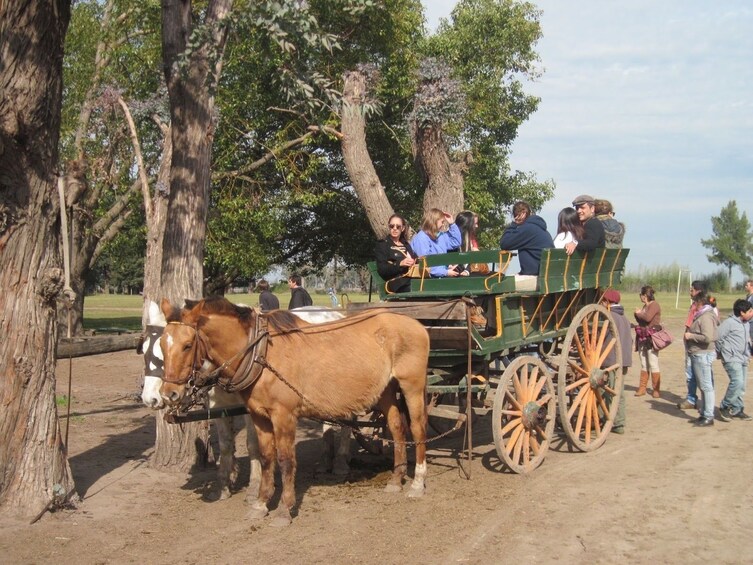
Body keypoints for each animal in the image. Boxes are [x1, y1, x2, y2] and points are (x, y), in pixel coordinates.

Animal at [159, 296, 428, 524]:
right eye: (161, 343)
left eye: (187, 345)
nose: (168, 393)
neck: (261, 353)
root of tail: (416, 324)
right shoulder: (259, 415)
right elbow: (266, 458)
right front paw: (260, 504)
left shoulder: (284, 415)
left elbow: (286, 460)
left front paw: (284, 509)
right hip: (385, 390)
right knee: (397, 427)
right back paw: (396, 479)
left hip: (412, 385)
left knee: (417, 429)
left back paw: (417, 482)